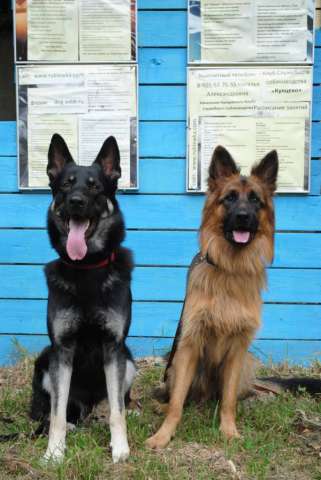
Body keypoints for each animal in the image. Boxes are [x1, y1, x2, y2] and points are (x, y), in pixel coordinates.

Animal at [29, 133, 136, 464]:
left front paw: (120, 448)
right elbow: (57, 414)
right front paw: (54, 452)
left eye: (94, 186)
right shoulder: (62, 349)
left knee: (115, 402)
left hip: (128, 361)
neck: (87, 267)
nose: (76, 201)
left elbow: (117, 411)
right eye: (66, 185)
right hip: (45, 360)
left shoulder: (113, 347)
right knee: (55, 410)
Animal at [146, 144, 318, 448]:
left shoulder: (238, 349)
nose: (243, 217)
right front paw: (163, 435)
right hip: (175, 360)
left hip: (248, 362)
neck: (230, 269)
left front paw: (229, 431)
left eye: (255, 200)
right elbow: (177, 402)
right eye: (229, 198)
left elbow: (228, 401)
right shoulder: (189, 345)